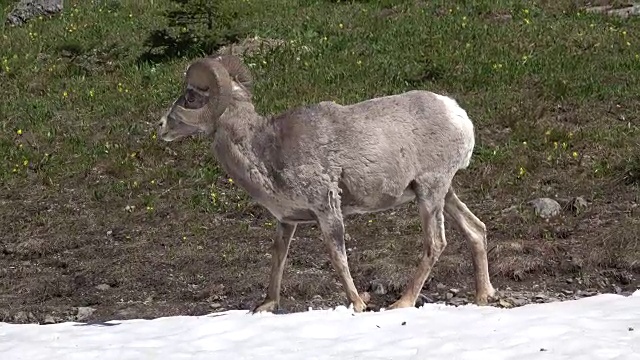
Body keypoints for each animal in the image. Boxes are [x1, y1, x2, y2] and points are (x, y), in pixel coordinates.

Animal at [158, 53, 498, 312]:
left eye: (191, 96)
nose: (161, 125)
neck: (264, 150)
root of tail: (458, 115)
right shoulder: (287, 221)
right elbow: (278, 257)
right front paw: (266, 306)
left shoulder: (326, 208)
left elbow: (337, 257)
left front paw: (358, 304)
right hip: (443, 194)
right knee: (476, 230)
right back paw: (484, 296)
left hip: (430, 193)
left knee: (435, 243)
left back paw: (402, 303)